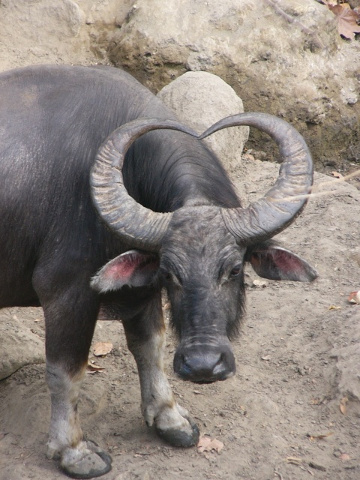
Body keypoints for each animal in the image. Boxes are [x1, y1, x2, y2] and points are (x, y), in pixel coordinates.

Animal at [0, 65, 316, 478]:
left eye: (234, 269)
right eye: (171, 274)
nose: (203, 365)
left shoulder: (140, 292)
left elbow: (150, 347)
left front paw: (169, 418)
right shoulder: (67, 294)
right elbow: (66, 372)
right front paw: (74, 450)